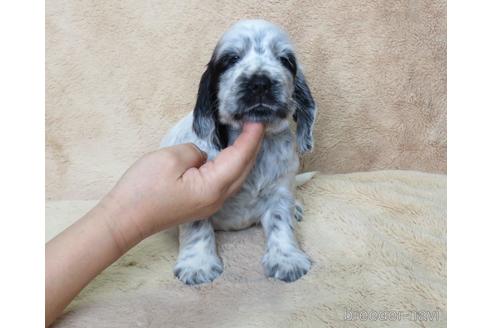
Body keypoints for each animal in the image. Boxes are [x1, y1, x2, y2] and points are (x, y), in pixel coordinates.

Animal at [160, 19, 318, 284]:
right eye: (231, 58)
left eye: (285, 60)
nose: (260, 82)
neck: (261, 146)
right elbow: (197, 225)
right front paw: (198, 265)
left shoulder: (280, 188)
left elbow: (281, 221)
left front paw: (287, 259)